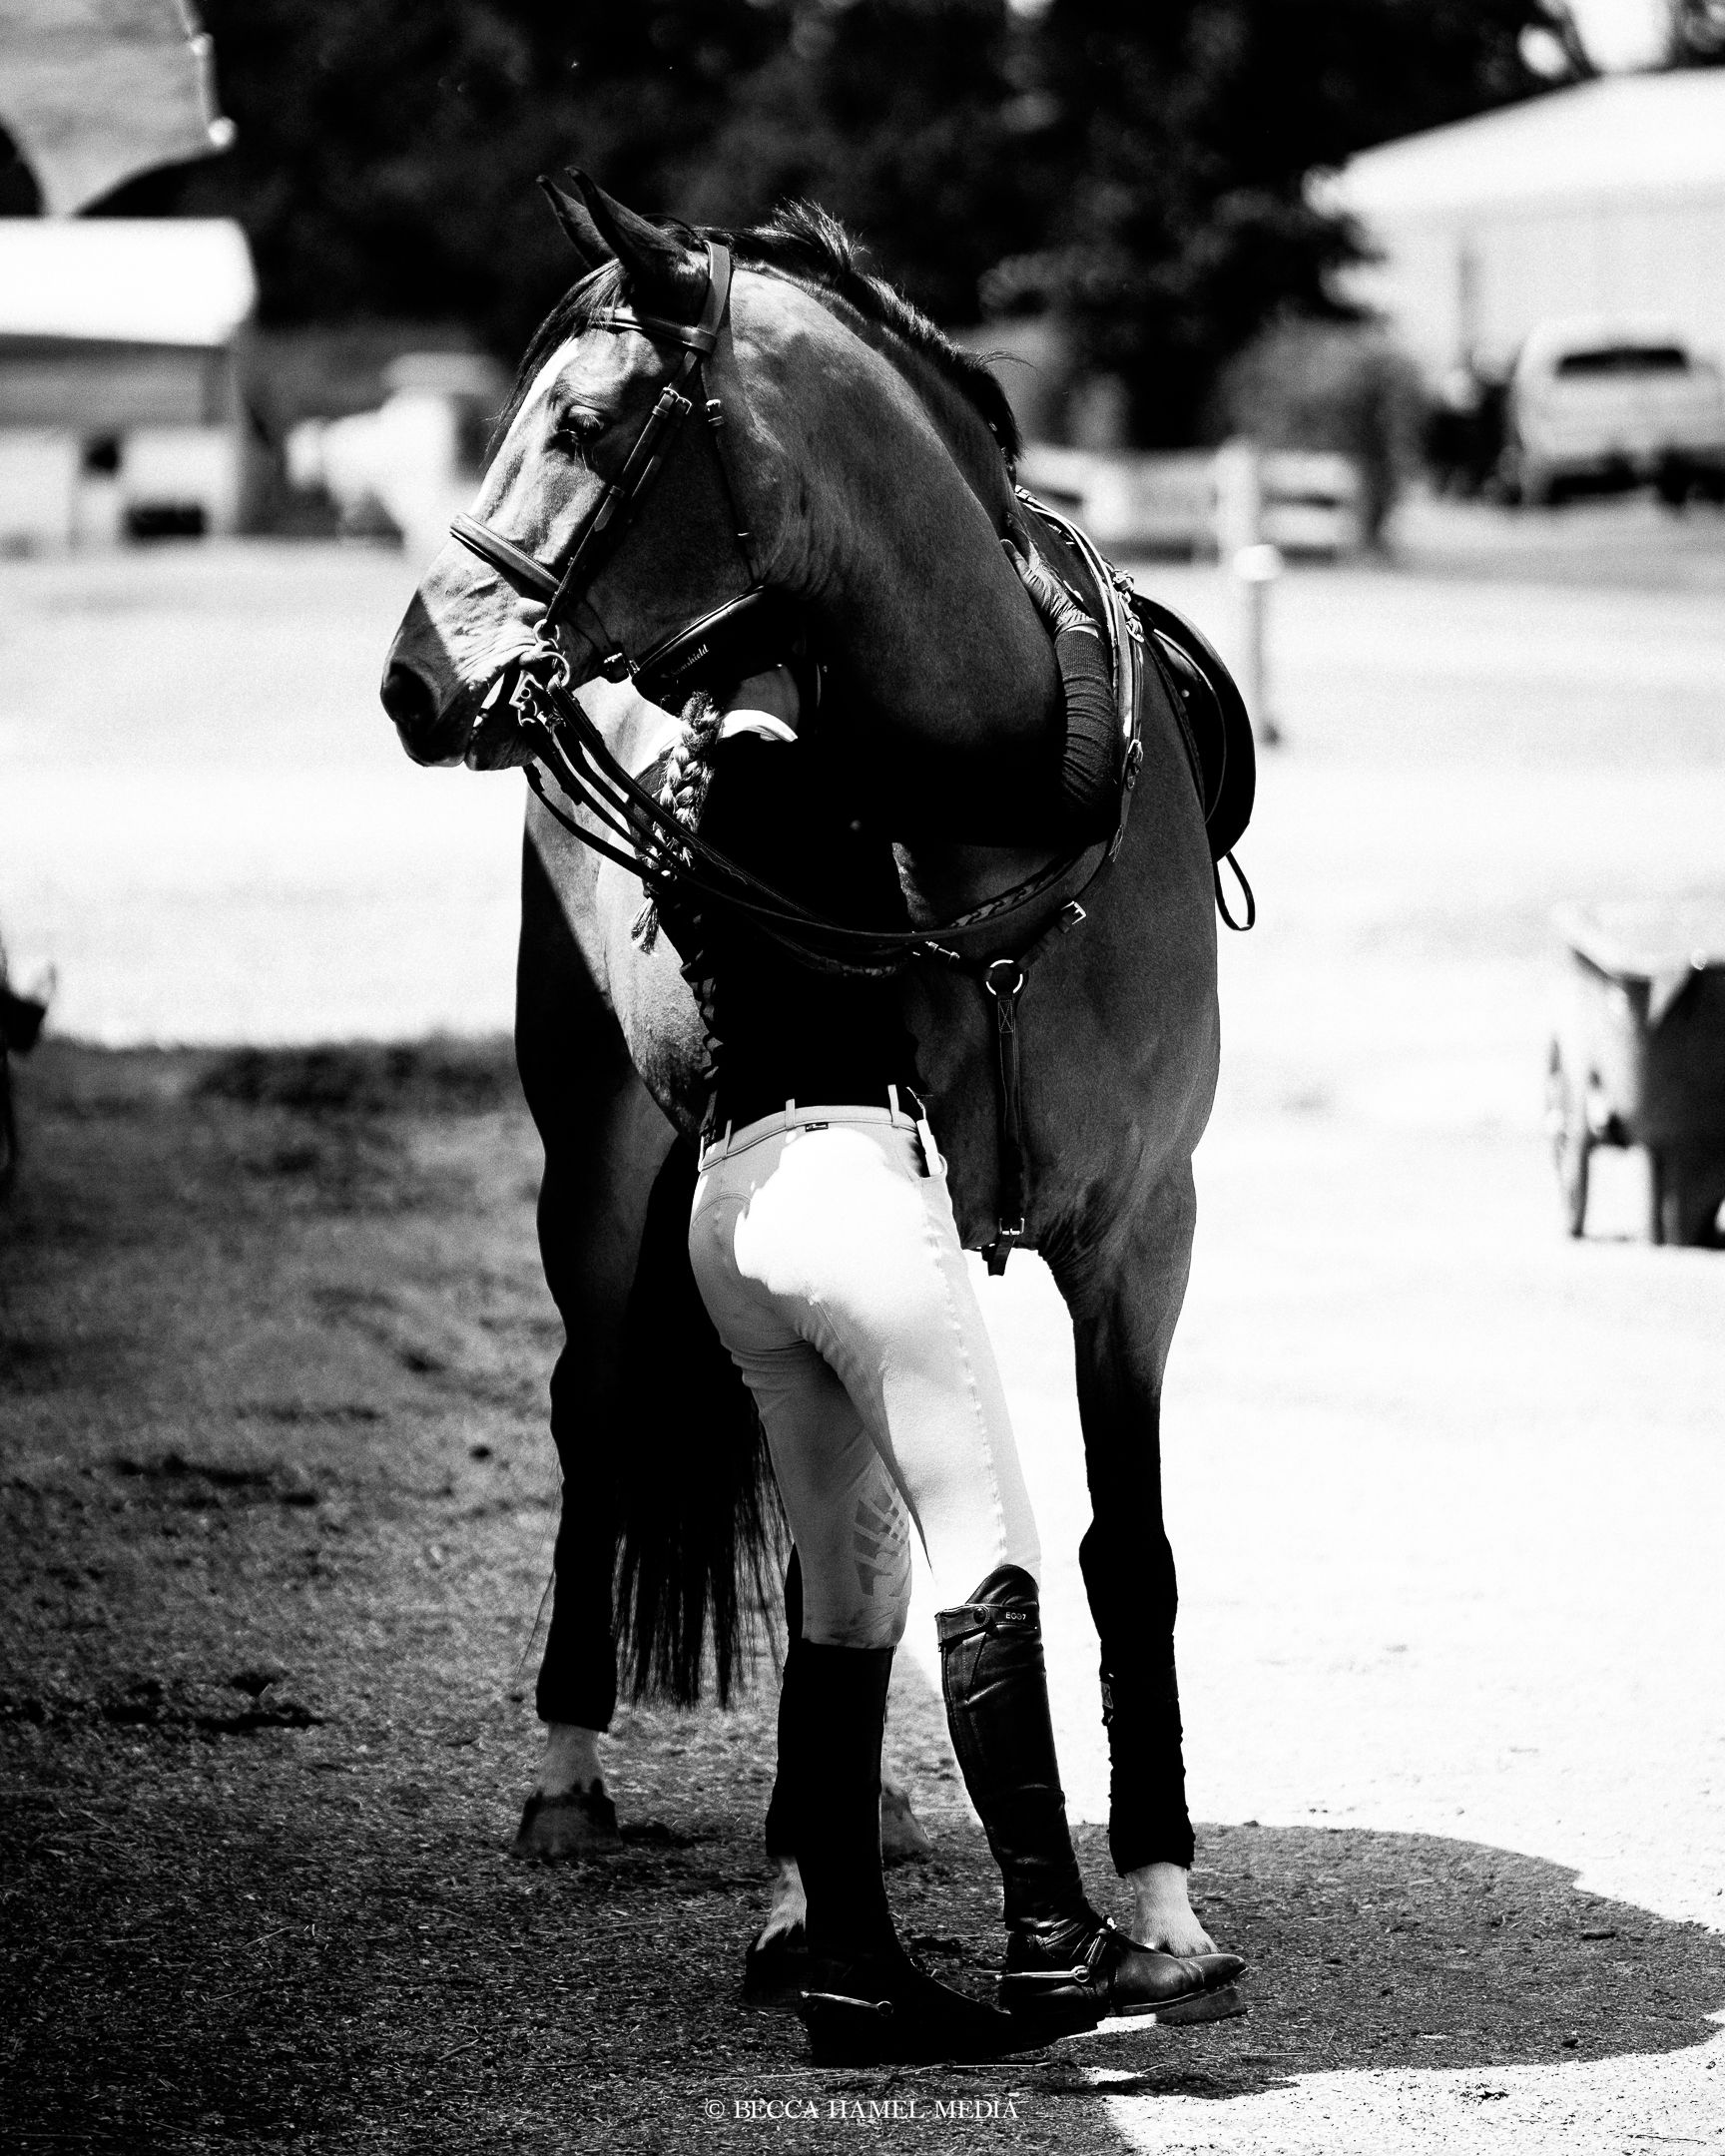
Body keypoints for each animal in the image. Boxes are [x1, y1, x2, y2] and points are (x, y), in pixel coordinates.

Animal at [381, 174, 1246, 1963]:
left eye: (583, 426)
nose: (419, 679)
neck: (997, 803)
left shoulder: (1142, 1236)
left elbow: (1123, 1547)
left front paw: (1157, 1887)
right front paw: (800, 1876)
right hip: (597, 1161)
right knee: (596, 1415)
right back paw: (572, 1768)